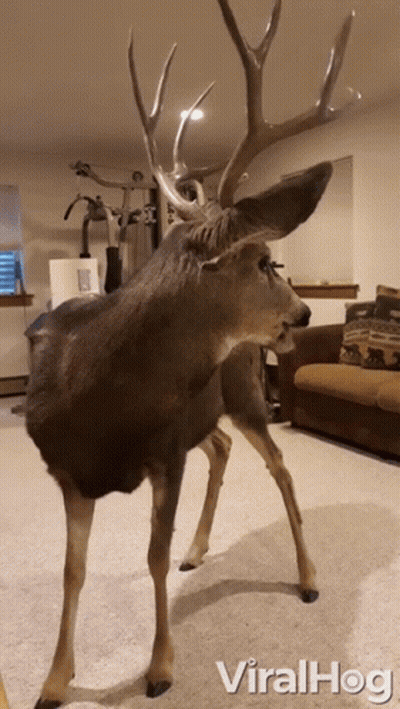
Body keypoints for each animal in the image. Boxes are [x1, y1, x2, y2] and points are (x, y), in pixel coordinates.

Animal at [24, 0, 357, 705]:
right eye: (262, 261)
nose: (303, 313)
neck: (99, 399)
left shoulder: (166, 452)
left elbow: (150, 553)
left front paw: (159, 667)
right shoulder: (68, 472)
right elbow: (72, 570)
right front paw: (55, 679)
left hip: (247, 395)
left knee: (280, 467)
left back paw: (308, 576)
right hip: (207, 414)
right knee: (225, 448)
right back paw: (199, 550)